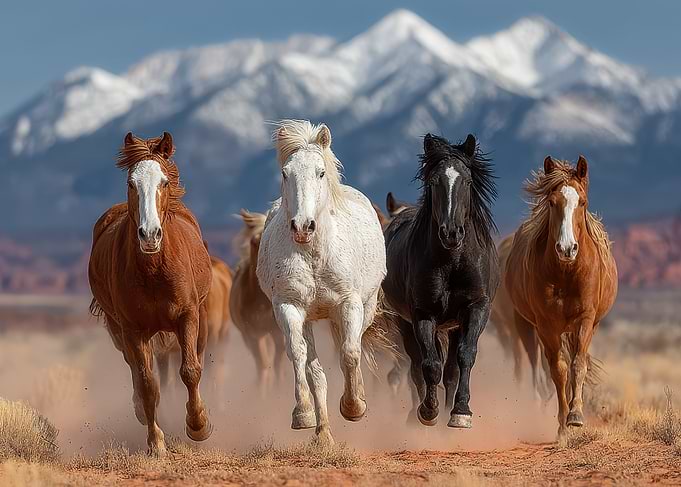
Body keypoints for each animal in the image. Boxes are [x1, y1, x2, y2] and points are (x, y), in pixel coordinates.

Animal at [88, 131, 213, 456]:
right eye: (131, 183)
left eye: (164, 182)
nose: (149, 234)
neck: (155, 270)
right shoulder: (133, 329)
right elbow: (147, 383)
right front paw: (156, 442)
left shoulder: (187, 316)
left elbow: (190, 370)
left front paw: (198, 424)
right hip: (117, 329)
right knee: (135, 370)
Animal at [256, 120, 390, 445]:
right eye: (285, 173)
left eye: (320, 172)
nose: (303, 227)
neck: (314, 254)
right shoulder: (289, 307)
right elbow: (300, 357)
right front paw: (302, 414)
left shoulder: (349, 304)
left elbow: (351, 353)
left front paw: (354, 407)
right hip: (308, 319)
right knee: (315, 370)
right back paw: (323, 434)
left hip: (364, 308)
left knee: (352, 345)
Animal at [382, 133, 499, 429]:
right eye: (434, 182)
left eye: (467, 181)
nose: (451, 233)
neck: (452, 261)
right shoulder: (422, 315)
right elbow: (429, 365)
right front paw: (428, 411)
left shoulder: (476, 308)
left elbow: (465, 357)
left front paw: (460, 412)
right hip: (406, 322)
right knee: (417, 366)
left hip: (454, 323)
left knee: (451, 368)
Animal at [504, 156, 617, 436]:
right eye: (552, 202)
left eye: (583, 202)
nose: (567, 248)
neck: (567, 273)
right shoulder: (546, 325)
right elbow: (558, 369)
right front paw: (563, 423)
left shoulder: (586, 320)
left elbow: (578, 365)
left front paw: (575, 416)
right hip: (527, 328)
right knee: (537, 366)